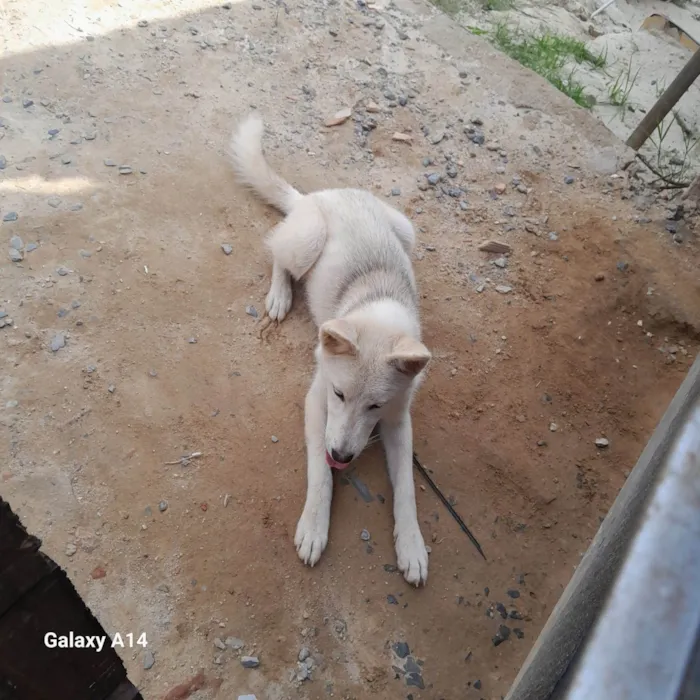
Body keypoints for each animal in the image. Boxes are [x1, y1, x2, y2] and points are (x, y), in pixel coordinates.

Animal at [230, 115, 432, 584]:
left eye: (376, 406)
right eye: (339, 394)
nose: (342, 455)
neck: (376, 307)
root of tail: (320, 195)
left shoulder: (399, 420)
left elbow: (407, 490)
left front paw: (412, 546)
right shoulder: (315, 401)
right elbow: (319, 474)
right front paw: (314, 527)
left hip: (407, 230)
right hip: (308, 239)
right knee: (276, 251)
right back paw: (280, 296)